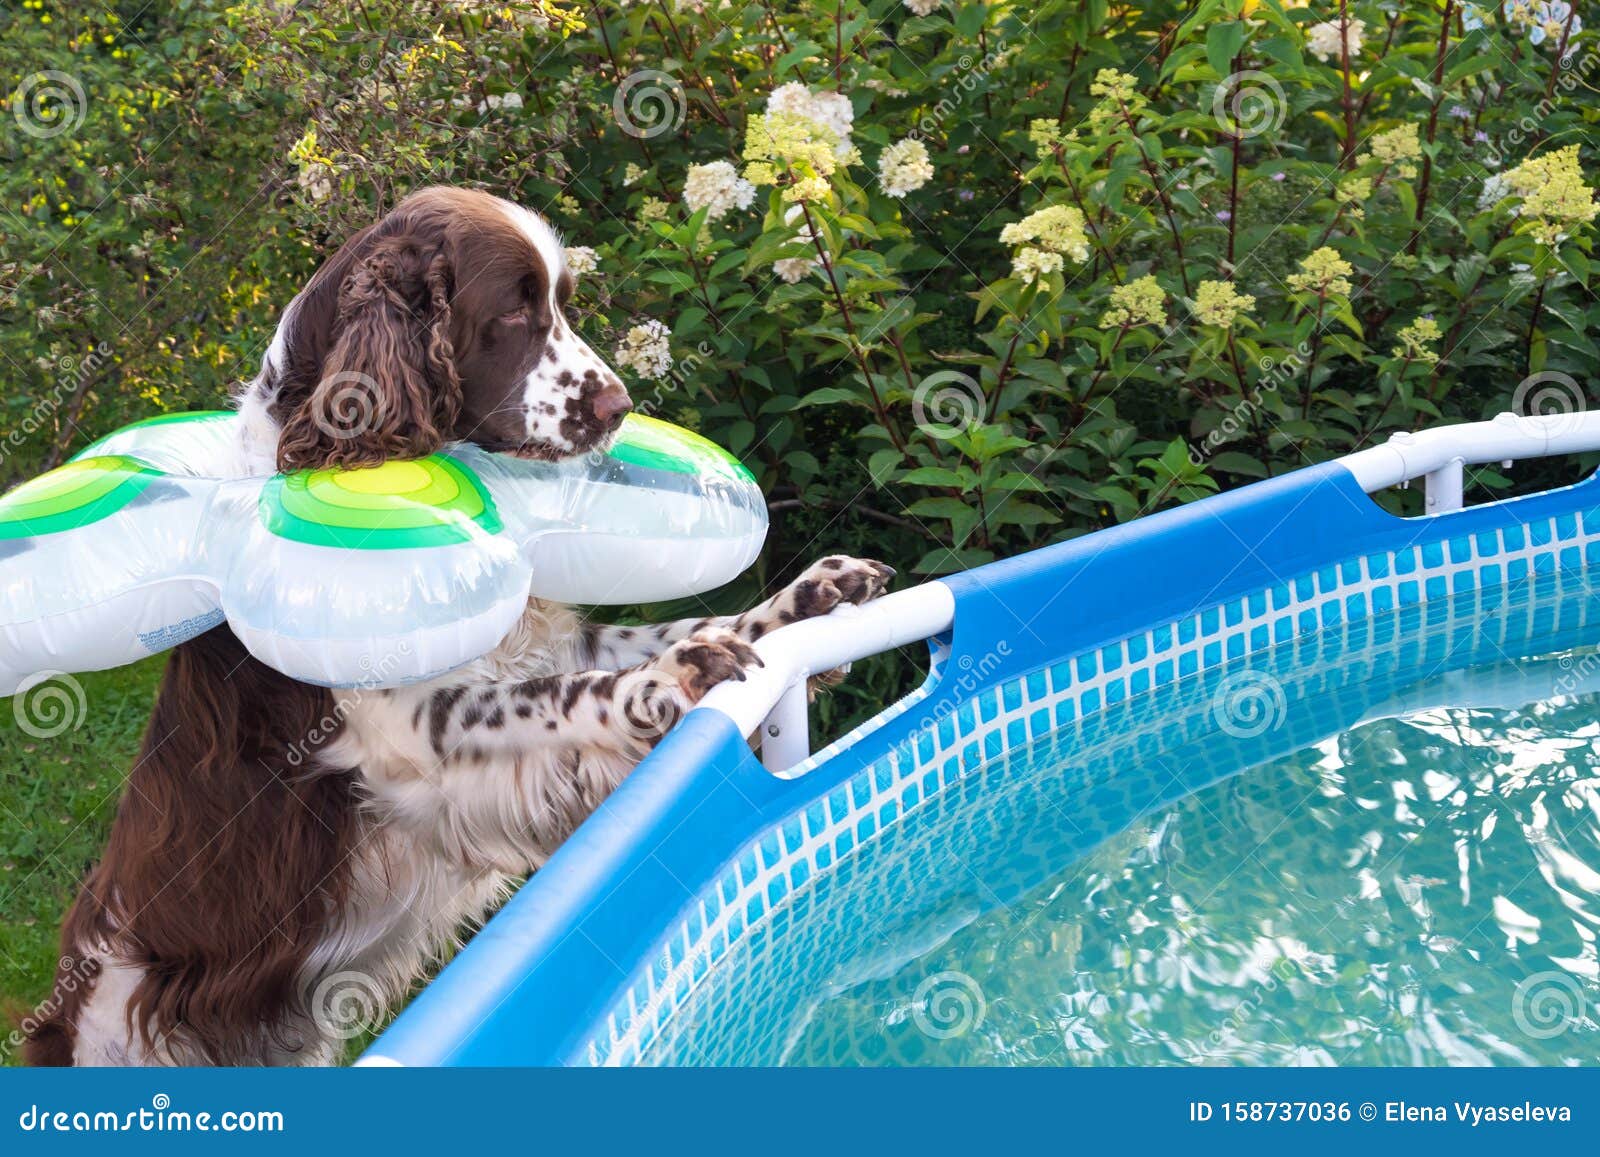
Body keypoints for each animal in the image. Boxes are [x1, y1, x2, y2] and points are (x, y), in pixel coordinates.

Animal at [28, 190, 902, 1068]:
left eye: (561, 300)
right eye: (512, 307)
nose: (619, 407)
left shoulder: (552, 642)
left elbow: (668, 628)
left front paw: (810, 597)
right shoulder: (413, 732)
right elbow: (567, 696)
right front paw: (670, 678)